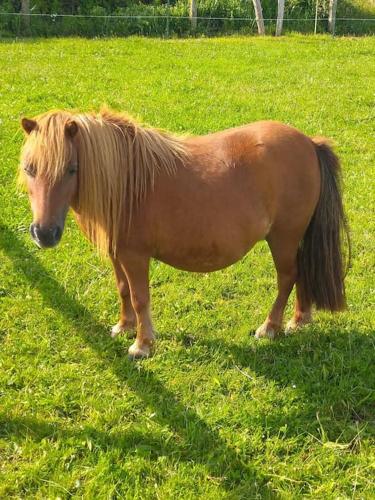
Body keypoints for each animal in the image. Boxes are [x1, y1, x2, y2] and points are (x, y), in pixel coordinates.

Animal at [19, 109, 350, 360]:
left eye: (71, 169)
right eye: (29, 168)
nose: (44, 234)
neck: (126, 184)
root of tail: (309, 143)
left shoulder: (135, 256)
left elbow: (140, 298)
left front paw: (142, 345)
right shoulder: (118, 255)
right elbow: (123, 290)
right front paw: (124, 327)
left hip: (283, 238)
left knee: (287, 278)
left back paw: (270, 327)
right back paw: (299, 320)